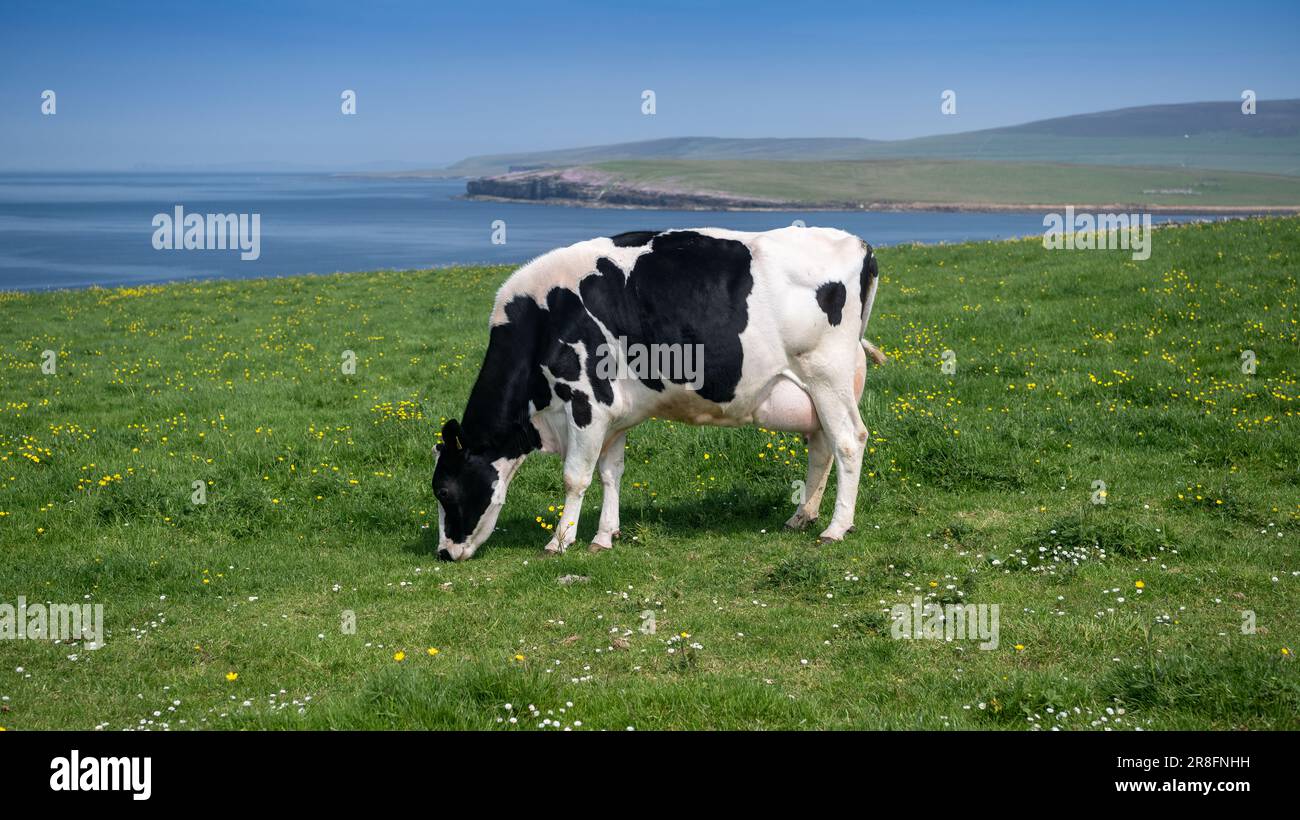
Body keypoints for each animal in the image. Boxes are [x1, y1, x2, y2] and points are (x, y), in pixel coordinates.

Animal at [432, 227, 883, 560]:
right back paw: (801, 517)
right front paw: (604, 536)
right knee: (821, 445)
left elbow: (575, 477)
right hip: (814, 389)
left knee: (848, 441)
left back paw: (835, 528)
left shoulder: (586, 402)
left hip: (827, 374)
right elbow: (610, 473)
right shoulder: (614, 414)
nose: (444, 552)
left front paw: (559, 541)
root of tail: (858, 243)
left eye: (443, 490)